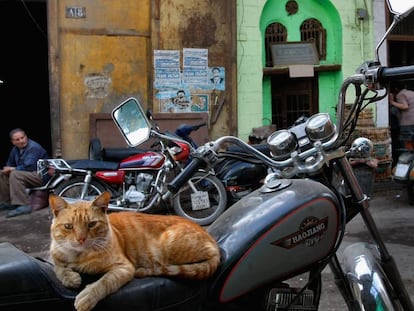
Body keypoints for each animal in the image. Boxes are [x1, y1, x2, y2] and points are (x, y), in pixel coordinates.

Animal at [49, 191, 220, 311]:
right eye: (68, 226)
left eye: (91, 224)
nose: (81, 239)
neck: (79, 257)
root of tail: (212, 239)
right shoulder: (56, 257)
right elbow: (58, 268)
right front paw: (70, 278)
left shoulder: (124, 267)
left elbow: (104, 282)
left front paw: (87, 296)